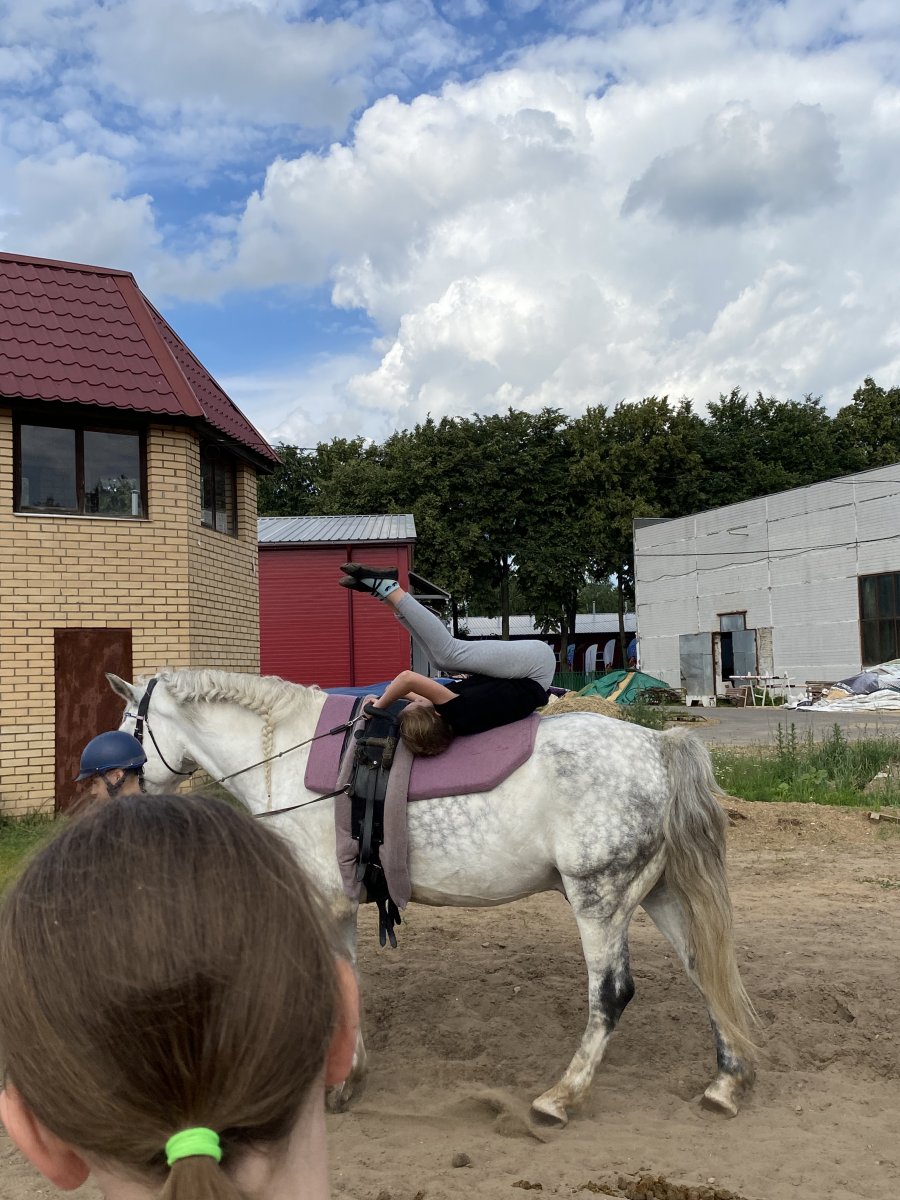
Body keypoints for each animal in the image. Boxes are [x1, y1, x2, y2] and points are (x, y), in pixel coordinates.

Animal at [108, 668, 756, 1126]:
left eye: (129, 724)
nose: (121, 791)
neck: (287, 755)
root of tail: (659, 747)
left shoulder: (323, 901)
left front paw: (332, 1083)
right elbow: (349, 980)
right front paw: (349, 1078)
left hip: (599, 897)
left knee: (611, 995)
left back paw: (560, 1097)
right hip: (657, 894)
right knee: (705, 970)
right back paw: (725, 1083)